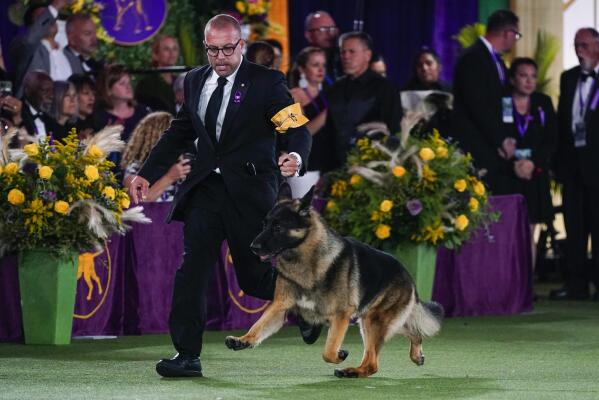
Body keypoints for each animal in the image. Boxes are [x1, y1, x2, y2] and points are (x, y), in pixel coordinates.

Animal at [223, 183, 442, 376]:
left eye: (277, 227)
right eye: (264, 225)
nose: (253, 247)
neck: (307, 259)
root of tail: (407, 274)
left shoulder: (341, 315)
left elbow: (328, 351)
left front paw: (340, 354)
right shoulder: (280, 306)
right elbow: (258, 326)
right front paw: (244, 339)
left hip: (374, 320)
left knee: (373, 363)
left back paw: (351, 372)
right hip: (377, 319)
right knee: (412, 331)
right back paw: (415, 355)